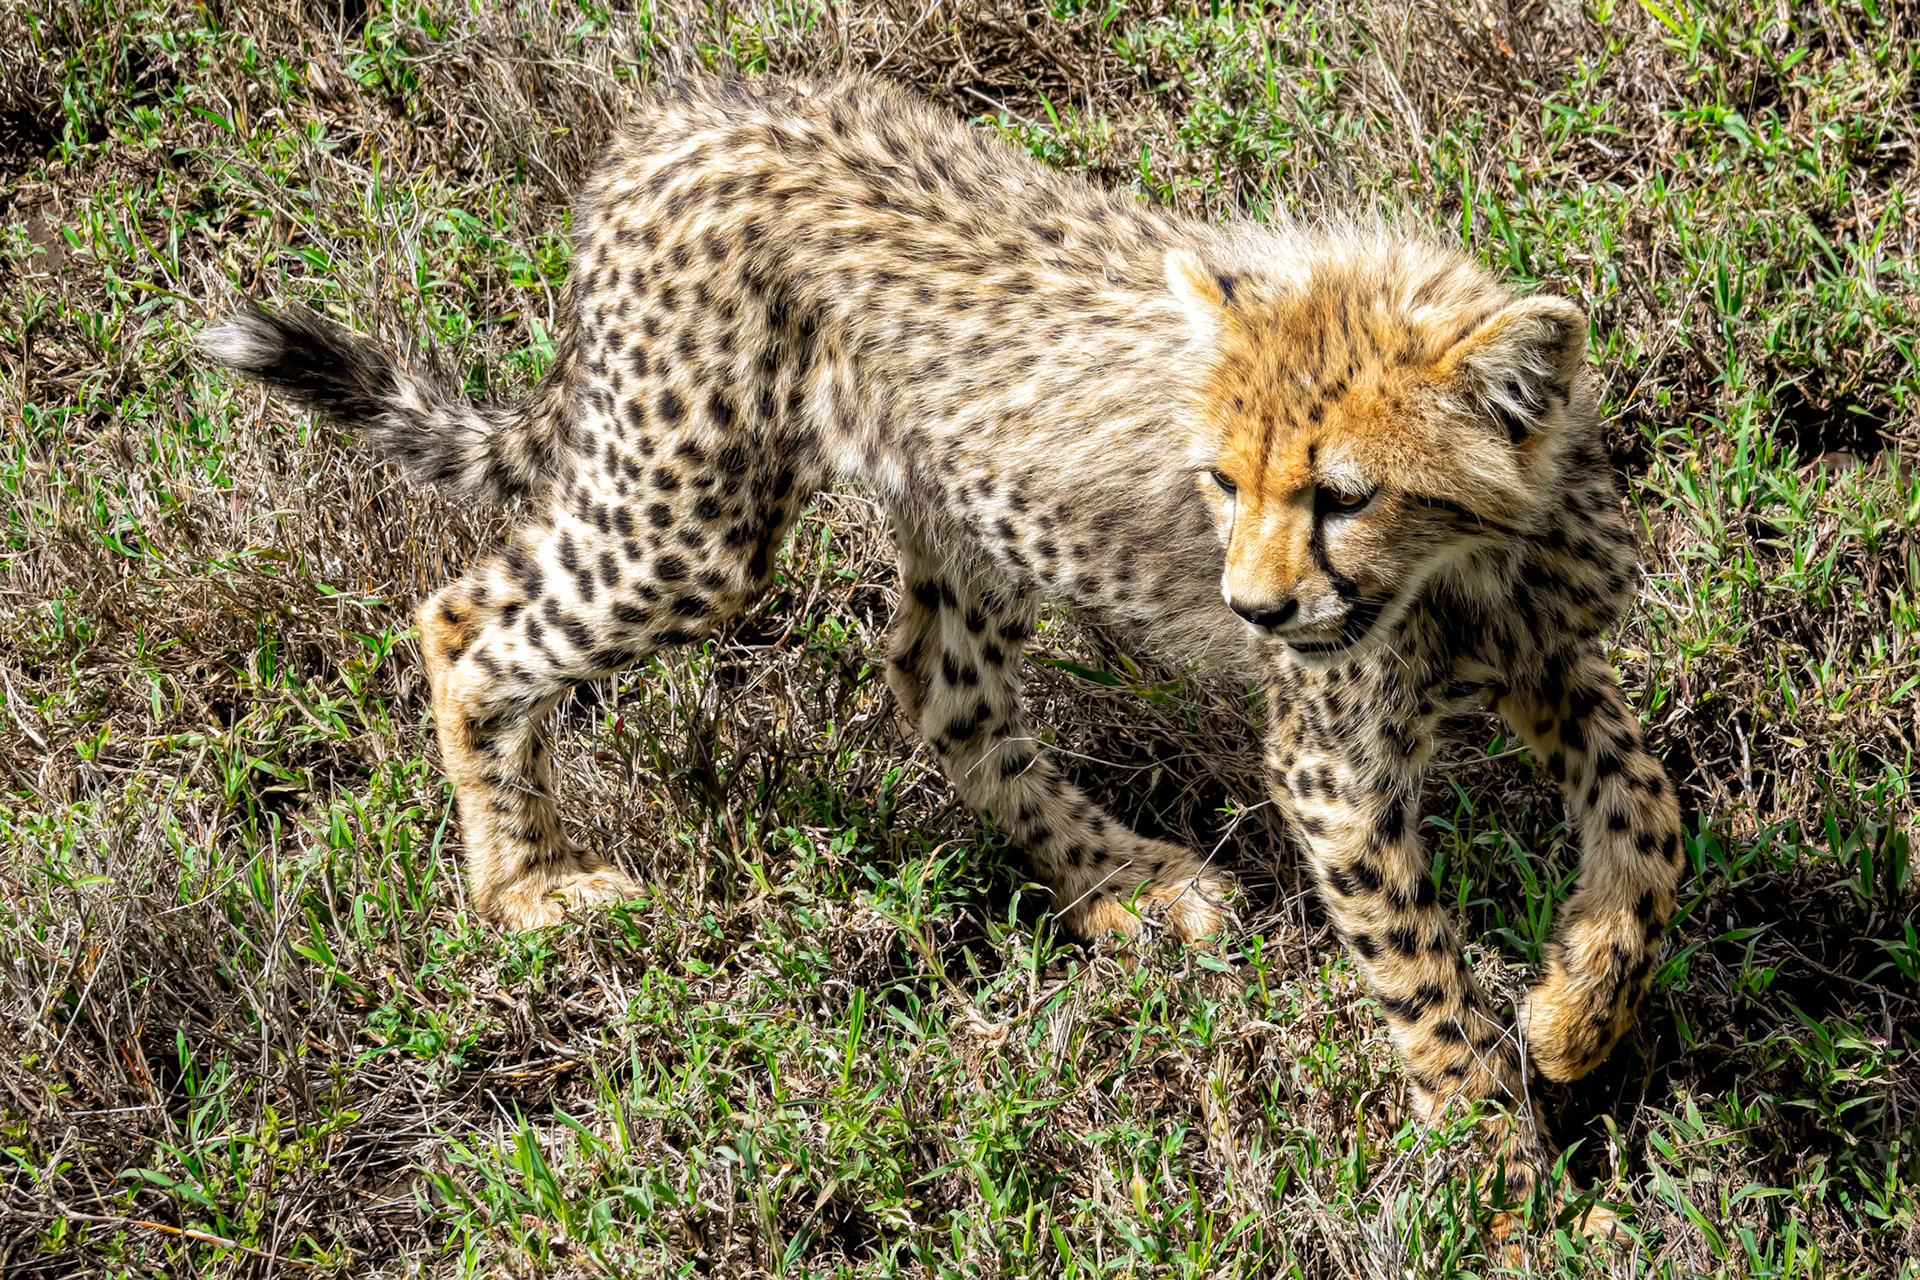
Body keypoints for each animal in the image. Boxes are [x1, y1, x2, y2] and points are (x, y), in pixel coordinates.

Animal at [200, 73, 1684, 1204]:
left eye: (1344, 494)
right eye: (1220, 480)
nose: (1256, 608)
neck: (1466, 569)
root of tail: (683, 119)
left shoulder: (1549, 658)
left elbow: (1649, 812)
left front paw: (1573, 1013)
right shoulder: (1337, 766)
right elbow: (1425, 979)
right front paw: (1510, 1190)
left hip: (955, 510)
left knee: (942, 694)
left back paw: (1129, 887)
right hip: (689, 524)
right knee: (465, 620)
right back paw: (521, 891)